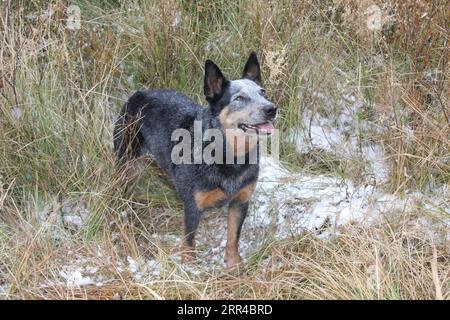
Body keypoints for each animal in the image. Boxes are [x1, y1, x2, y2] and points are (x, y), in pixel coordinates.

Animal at [112, 52, 278, 268]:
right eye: (240, 98)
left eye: (263, 92)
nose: (272, 108)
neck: (229, 157)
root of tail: (138, 94)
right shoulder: (192, 205)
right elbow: (189, 241)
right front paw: (189, 268)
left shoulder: (240, 202)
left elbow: (233, 238)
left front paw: (234, 264)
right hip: (125, 163)